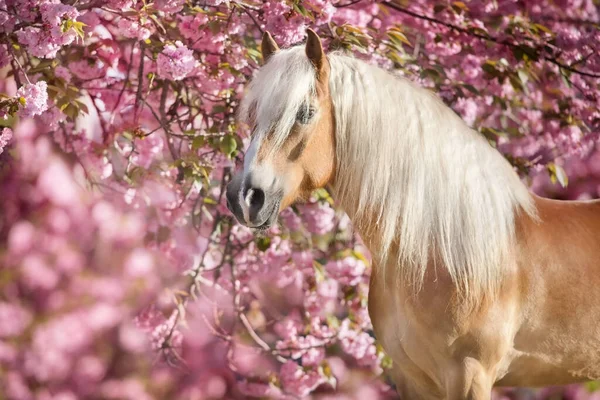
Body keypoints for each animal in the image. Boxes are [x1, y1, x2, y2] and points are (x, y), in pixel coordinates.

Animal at [225, 29, 600, 398]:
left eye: (304, 113)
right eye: (253, 115)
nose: (244, 197)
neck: (440, 249)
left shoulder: (470, 374)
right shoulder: (410, 376)